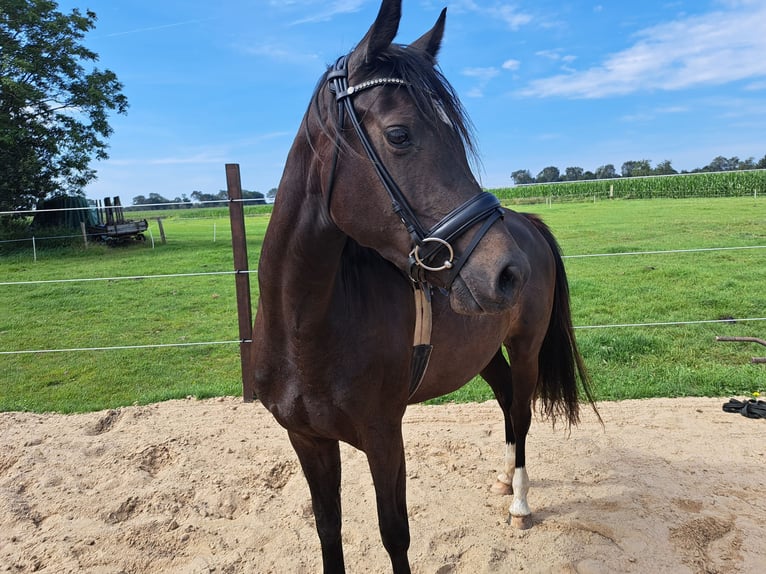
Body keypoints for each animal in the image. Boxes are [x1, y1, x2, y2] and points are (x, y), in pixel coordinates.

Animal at [252, 2, 600, 572]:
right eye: (399, 135)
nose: (509, 272)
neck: (305, 328)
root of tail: (526, 223)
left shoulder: (384, 439)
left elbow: (395, 533)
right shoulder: (307, 440)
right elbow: (328, 531)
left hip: (525, 346)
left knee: (522, 412)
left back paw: (520, 502)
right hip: (485, 353)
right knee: (507, 399)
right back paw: (503, 479)